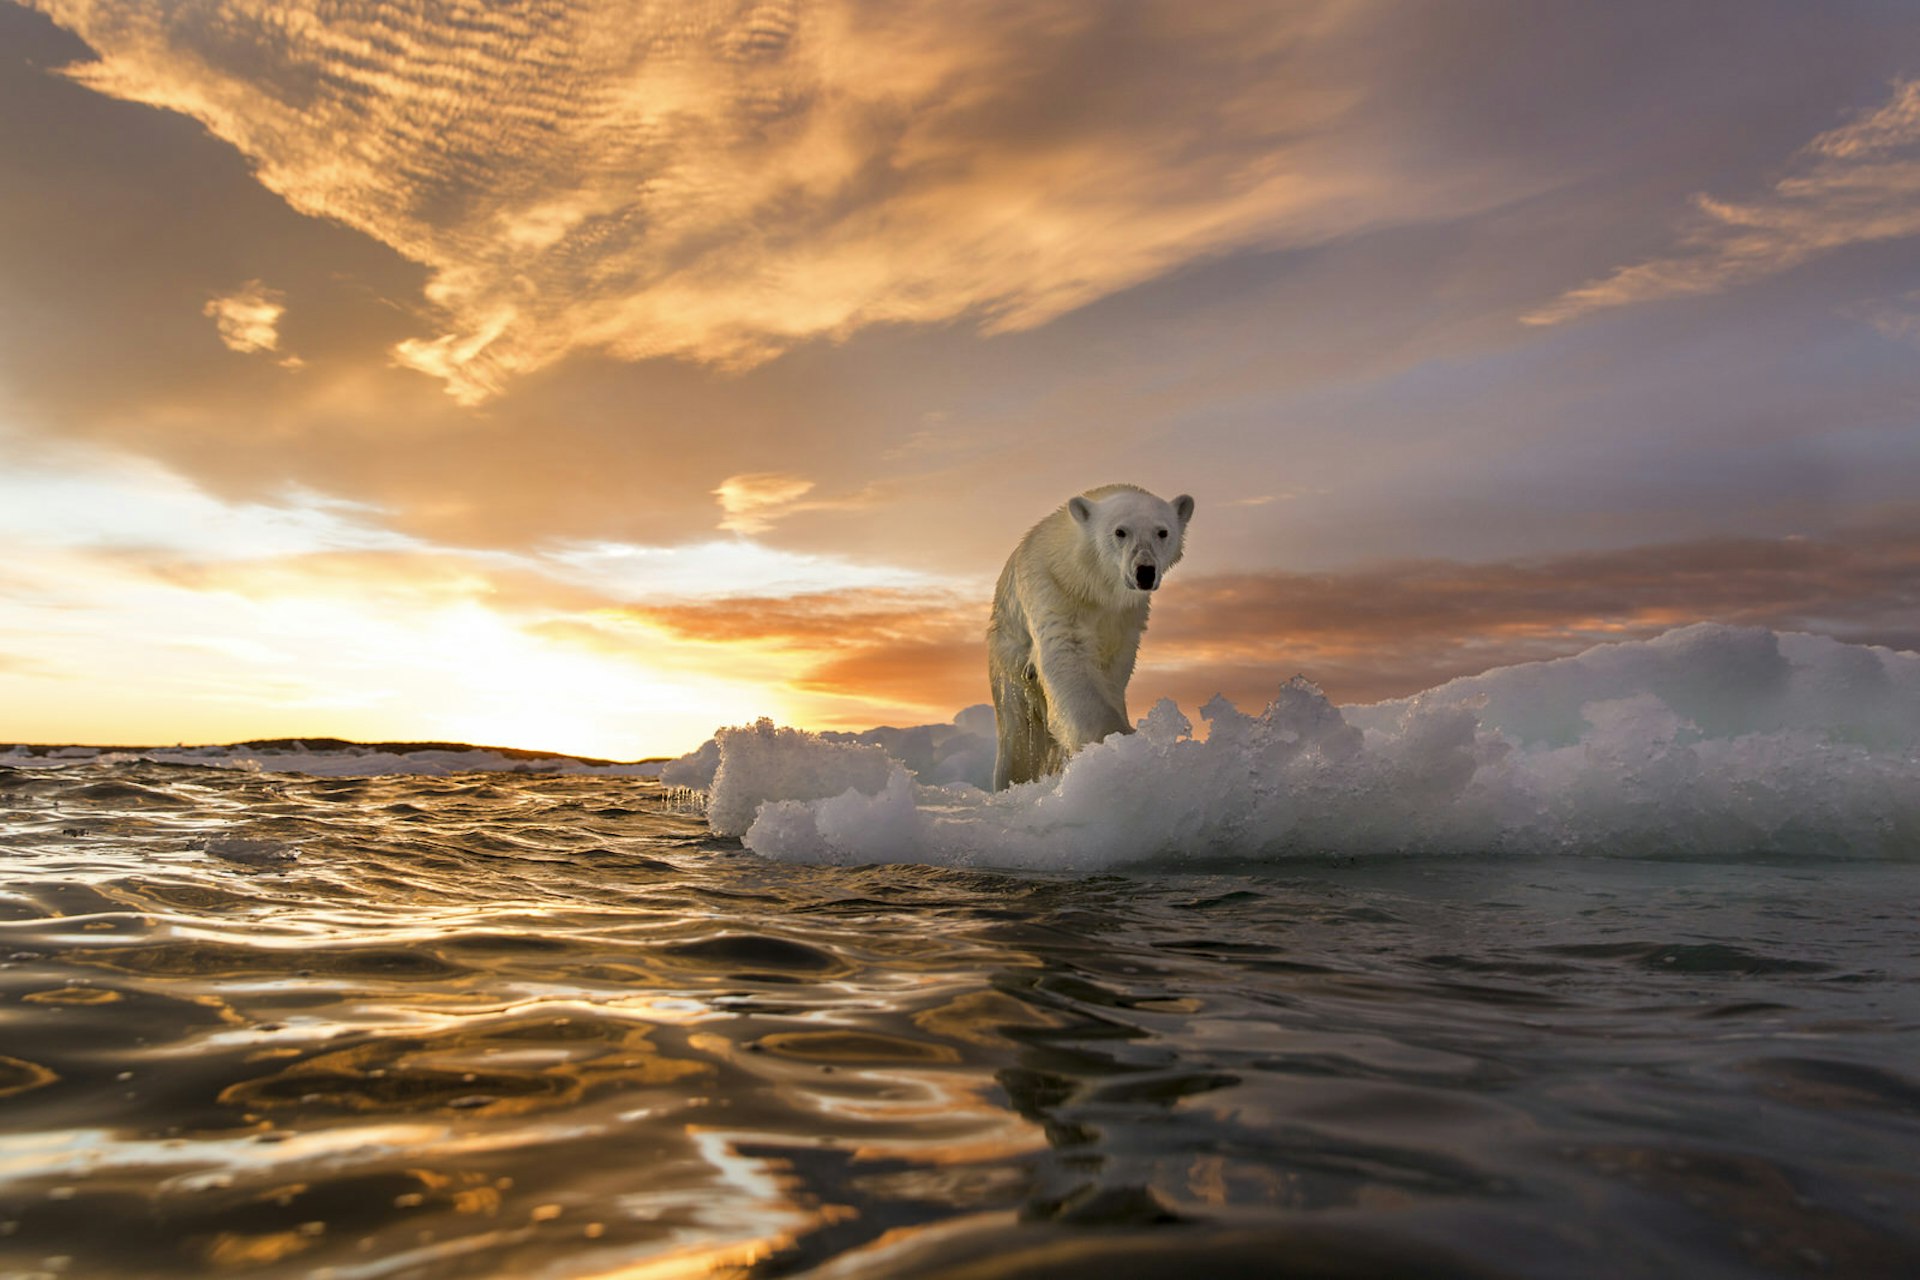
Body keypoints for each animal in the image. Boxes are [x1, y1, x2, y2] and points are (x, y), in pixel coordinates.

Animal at [990, 485, 1182, 790]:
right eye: (1120, 531)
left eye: (1162, 532)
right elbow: (1067, 656)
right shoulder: (1054, 589)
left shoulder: (1125, 618)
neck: (1092, 584)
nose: (1145, 571)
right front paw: (1115, 742)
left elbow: (1113, 669)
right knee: (1018, 734)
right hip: (1008, 660)